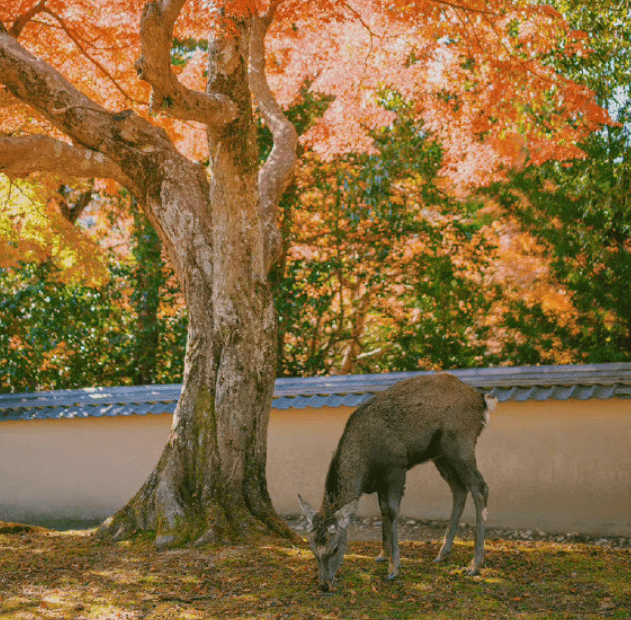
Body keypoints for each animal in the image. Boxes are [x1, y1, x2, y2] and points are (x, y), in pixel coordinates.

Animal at [298, 370, 496, 592]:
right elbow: (383, 511)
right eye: (312, 548)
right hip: (440, 454)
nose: (323, 585)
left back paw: (475, 564)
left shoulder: (396, 468)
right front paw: (382, 555)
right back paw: (442, 553)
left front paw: (394, 568)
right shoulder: (379, 483)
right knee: (459, 489)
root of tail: (482, 401)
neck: (365, 466)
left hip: (460, 442)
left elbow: (392, 512)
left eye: (335, 548)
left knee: (480, 487)